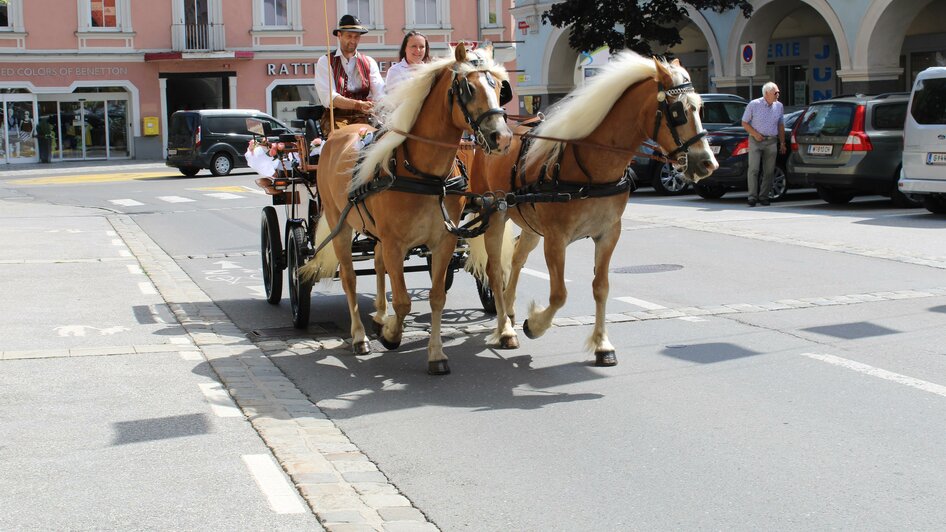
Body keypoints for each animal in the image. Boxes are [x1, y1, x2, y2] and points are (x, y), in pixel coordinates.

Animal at [300, 45, 508, 376]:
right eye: (469, 88)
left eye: (500, 87)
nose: (502, 137)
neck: (424, 175)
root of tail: (335, 136)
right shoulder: (396, 243)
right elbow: (403, 301)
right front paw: (391, 335)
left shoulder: (443, 241)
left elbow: (436, 297)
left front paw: (435, 354)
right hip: (339, 224)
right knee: (350, 278)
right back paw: (360, 337)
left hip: (377, 233)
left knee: (378, 263)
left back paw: (378, 317)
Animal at [464, 53, 716, 366]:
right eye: (678, 111)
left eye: (700, 107)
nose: (708, 163)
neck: (590, 166)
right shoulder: (555, 240)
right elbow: (559, 294)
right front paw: (535, 324)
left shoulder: (608, 234)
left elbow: (601, 287)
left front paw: (603, 344)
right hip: (494, 214)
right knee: (495, 269)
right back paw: (505, 329)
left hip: (531, 226)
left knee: (517, 259)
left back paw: (509, 310)